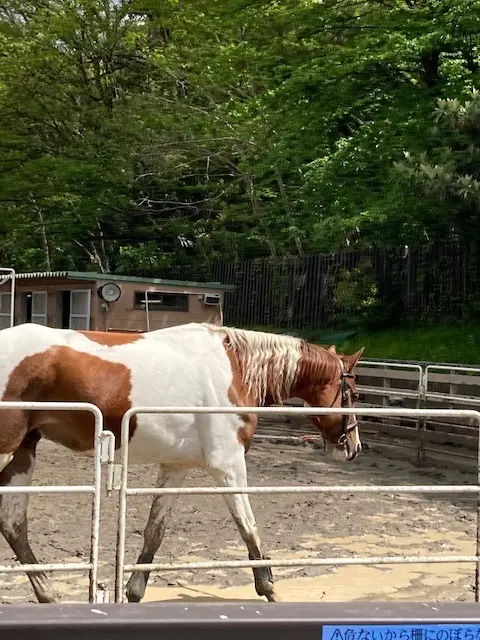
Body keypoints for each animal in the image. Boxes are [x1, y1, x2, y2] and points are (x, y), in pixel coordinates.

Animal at [0, 321, 363, 604]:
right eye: (355, 394)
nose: (354, 447)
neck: (234, 369)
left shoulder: (176, 468)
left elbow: (154, 531)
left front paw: (134, 592)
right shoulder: (228, 466)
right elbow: (249, 527)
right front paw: (269, 588)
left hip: (23, 451)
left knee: (13, 525)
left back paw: (48, 594)